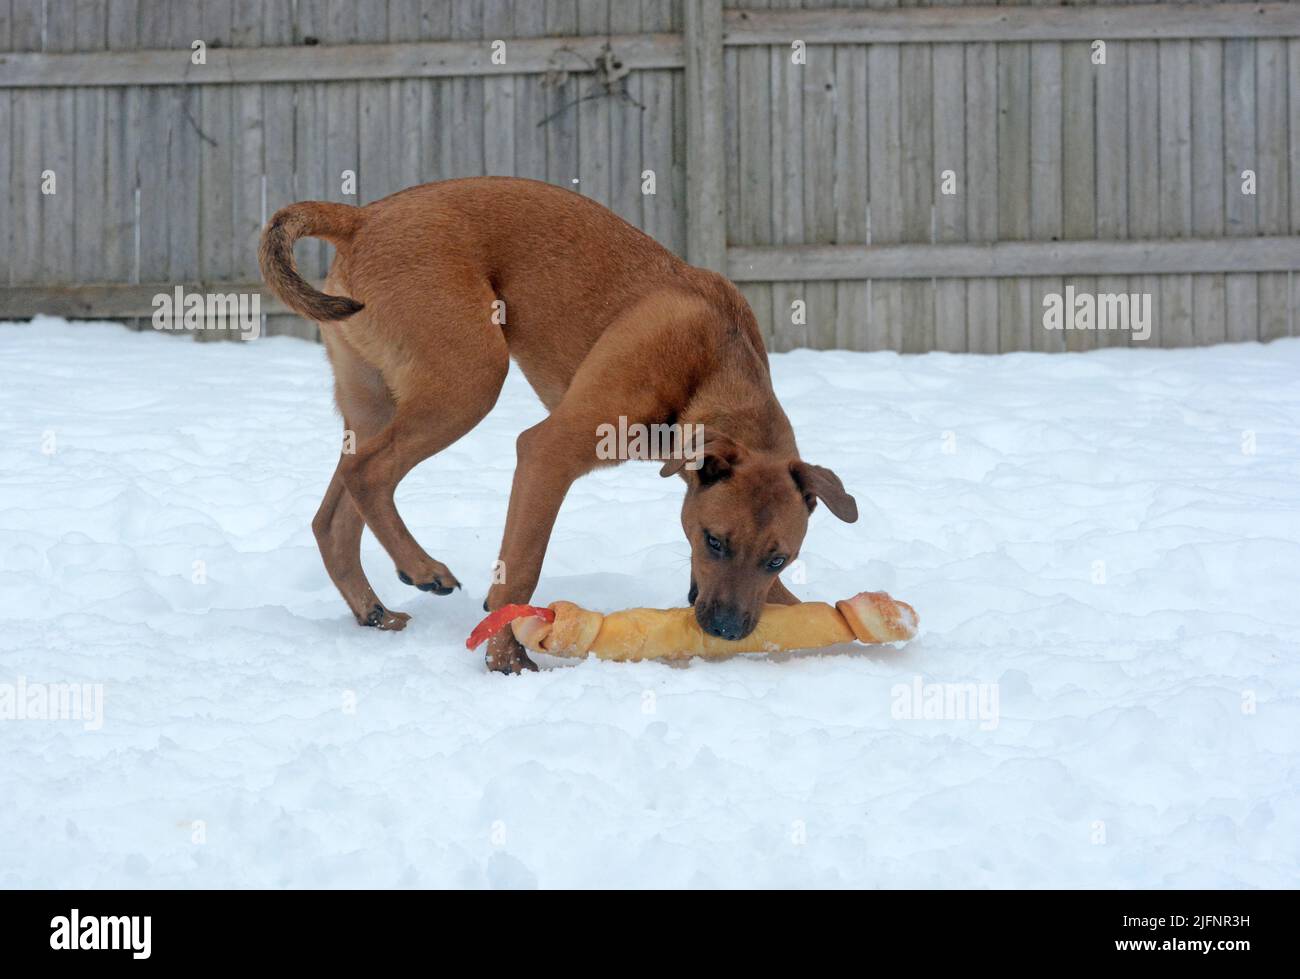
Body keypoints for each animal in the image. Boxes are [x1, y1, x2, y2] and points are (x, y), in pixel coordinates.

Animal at [258, 175, 857, 670]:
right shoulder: (549, 452)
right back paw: (422, 568)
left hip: (375, 402)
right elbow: (519, 574)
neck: (712, 365)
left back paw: (374, 612)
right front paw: (507, 661)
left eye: (778, 557)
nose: (728, 631)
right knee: (369, 474)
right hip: (470, 379)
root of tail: (363, 217)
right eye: (714, 542)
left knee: (334, 514)